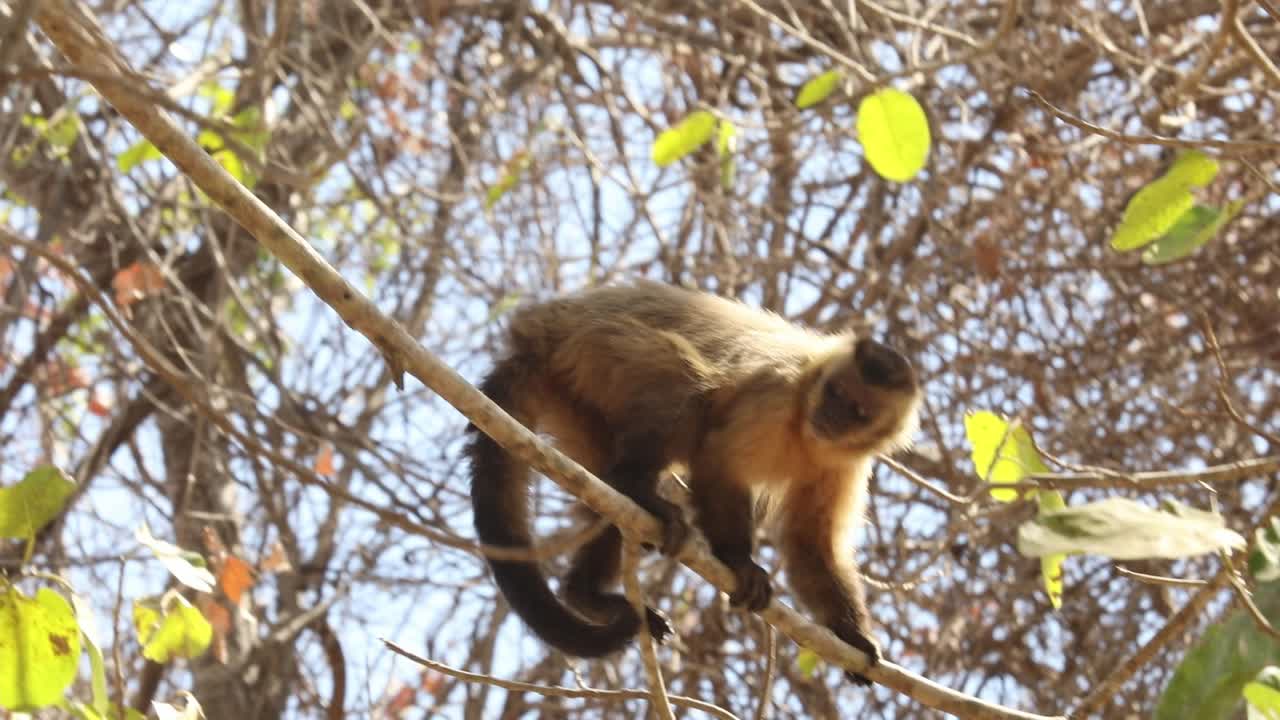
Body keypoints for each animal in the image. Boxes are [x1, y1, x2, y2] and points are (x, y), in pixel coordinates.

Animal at [465, 280, 921, 684]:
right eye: (835, 392)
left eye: (857, 411)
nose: (830, 416)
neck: (806, 428)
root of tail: (535, 332)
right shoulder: (777, 393)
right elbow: (718, 459)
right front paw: (739, 562)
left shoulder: (847, 462)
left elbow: (810, 545)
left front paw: (852, 635)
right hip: (590, 347)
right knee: (685, 382)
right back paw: (637, 490)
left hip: (573, 401)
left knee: (607, 493)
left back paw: (586, 593)